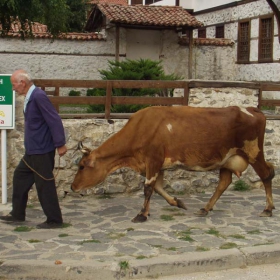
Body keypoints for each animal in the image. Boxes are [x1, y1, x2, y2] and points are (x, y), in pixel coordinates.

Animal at [71, 106, 274, 222]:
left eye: (81, 166)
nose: (72, 187)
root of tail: (252, 109)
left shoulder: (153, 160)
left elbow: (148, 188)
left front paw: (141, 215)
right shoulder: (156, 165)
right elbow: (158, 187)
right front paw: (177, 202)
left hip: (254, 152)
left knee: (267, 174)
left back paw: (267, 209)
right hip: (227, 159)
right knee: (224, 183)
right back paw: (205, 208)